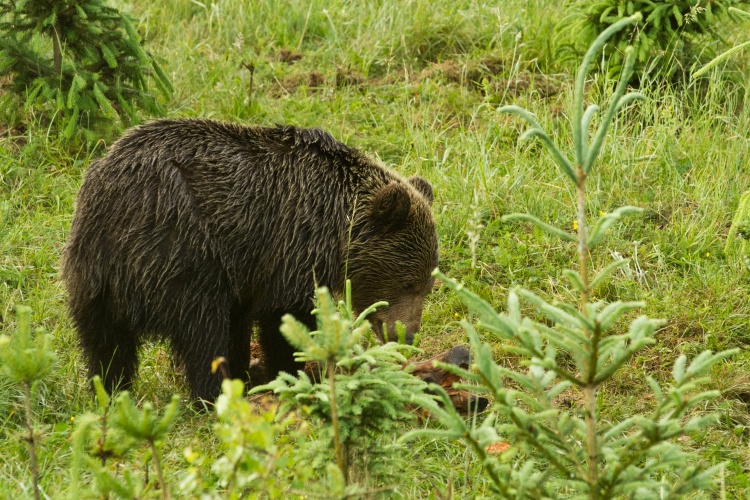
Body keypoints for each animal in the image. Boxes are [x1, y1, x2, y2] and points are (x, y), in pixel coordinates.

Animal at [66, 118, 440, 402]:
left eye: (428, 286)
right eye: (409, 283)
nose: (406, 334)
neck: (334, 225)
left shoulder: (247, 268)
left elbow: (240, 323)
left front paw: (249, 370)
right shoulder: (288, 247)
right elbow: (282, 319)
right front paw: (292, 371)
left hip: (93, 271)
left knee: (105, 342)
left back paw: (111, 389)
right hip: (180, 247)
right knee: (201, 330)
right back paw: (212, 395)